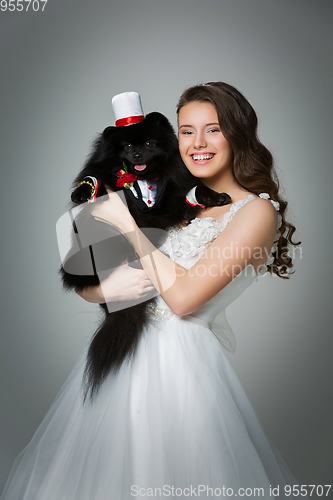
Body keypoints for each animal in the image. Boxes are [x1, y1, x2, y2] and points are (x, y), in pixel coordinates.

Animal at [61, 111, 230, 400]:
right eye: (128, 146)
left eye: (150, 144)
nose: (138, 154)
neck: (142, 182)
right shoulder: (104, 182)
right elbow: (93, 179)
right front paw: (82, 192)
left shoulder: (175, 193)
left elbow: (193, 191)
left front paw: (216, 196)